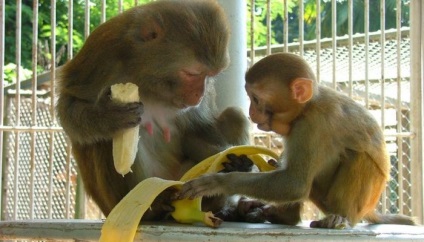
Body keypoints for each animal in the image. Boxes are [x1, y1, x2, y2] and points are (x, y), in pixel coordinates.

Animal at [55, 0, 252, 219]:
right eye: (192, 73)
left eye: (210, 75)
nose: (199, 96)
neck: (145, 74)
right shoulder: (101, 54)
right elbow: (70, 104)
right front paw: (109, 117)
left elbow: (195, 130)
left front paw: (237, 166)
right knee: (105, 141)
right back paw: (155, 208)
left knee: (234, 115)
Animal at [180, 52, 418, 228]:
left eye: (256, 99)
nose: (251, 113)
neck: (307, 107)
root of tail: (369, 209)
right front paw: (241, 165)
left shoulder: (311, 126)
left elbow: (295, 183)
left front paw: (219, 182)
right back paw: (274, 214)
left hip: (357, 203)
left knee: (355, 157)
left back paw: (338, 217)